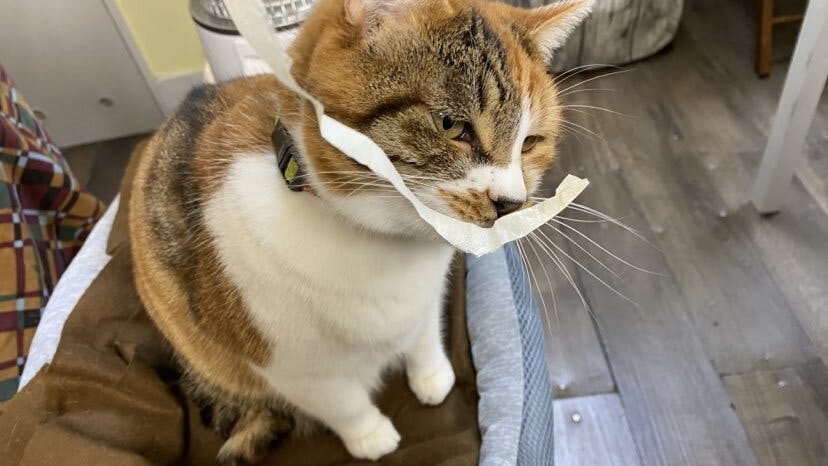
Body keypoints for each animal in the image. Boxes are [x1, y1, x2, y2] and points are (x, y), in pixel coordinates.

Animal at [128, 0, 592, 463]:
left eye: (530, 142)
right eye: (450, 124)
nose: (511, 202)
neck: (389, 247)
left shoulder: (427, 299)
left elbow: (424, 334)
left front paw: (431, 375)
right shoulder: (287, 363)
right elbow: (340, 402)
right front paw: (370, 435)